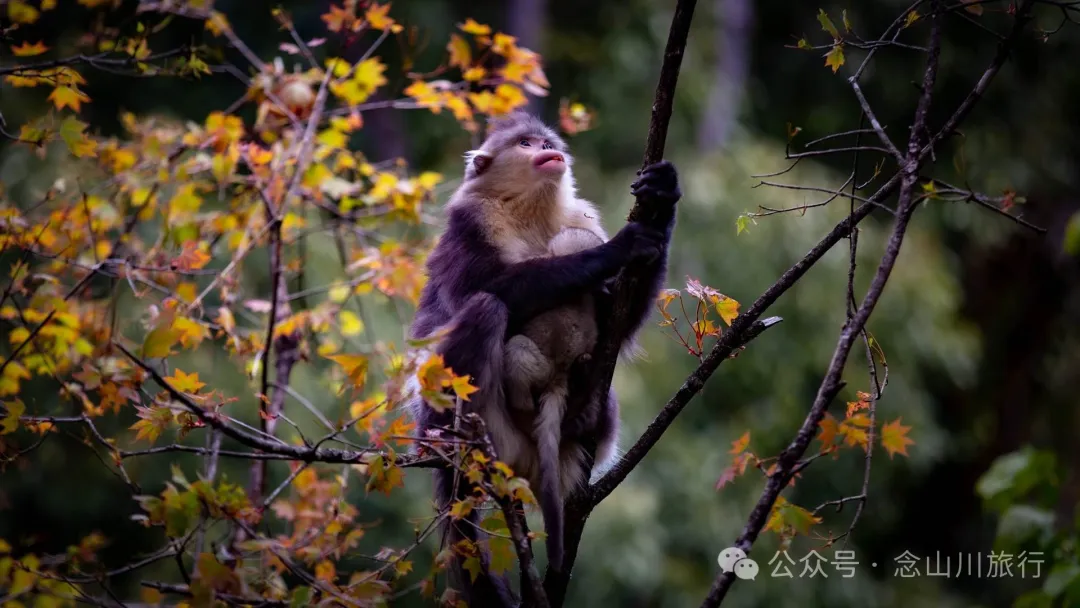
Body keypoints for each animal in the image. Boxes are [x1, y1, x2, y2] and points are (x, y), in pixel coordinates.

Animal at [405, 111, 681, 607]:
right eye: (525, 143)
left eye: (545, 141)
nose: (547, 150)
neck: (528, 209)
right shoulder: (470, 223)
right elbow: (488, 289)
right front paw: (619, 248)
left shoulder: (579, 217)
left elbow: (619, 322)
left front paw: (662, 193)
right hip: (489, 426)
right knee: (487, 306)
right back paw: (457, 441)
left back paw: (583, 411)